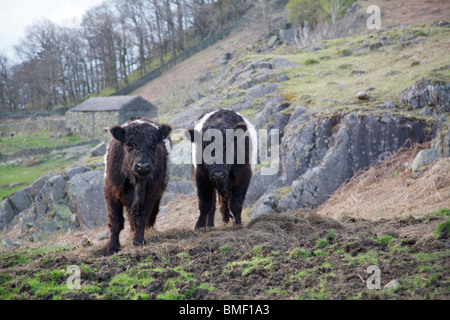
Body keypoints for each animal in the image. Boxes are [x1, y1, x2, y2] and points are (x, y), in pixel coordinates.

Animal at [103, 117, 172, 255]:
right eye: (129, 145)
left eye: (154, 144)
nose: (143, 166)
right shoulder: (111, 192)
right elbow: (115, 221)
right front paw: (112, 247)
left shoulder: (152, 193)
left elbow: (142, 218)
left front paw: (138, 241)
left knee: (151, 214)